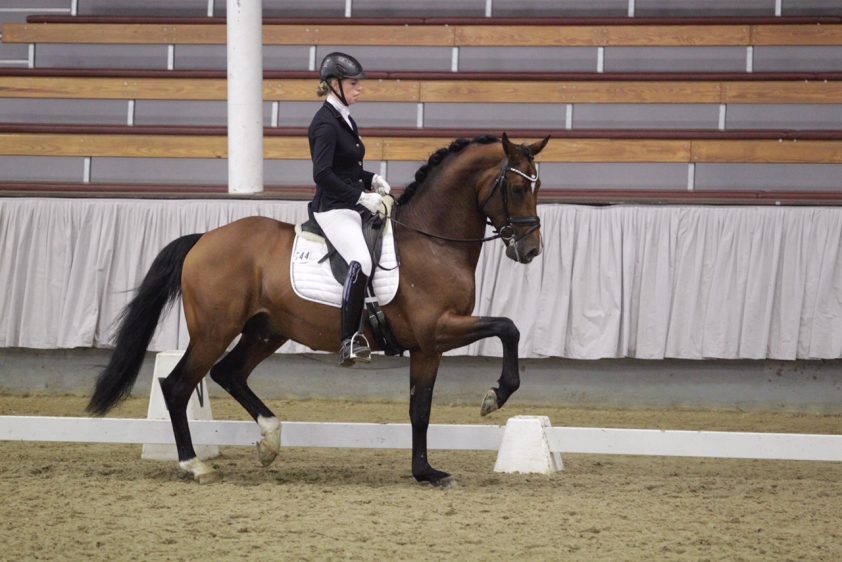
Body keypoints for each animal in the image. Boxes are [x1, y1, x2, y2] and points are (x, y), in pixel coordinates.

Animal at [87, 132, 550, 487]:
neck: (434, 242)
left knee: (228, 374)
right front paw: (495, 395)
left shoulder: (427, 347)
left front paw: (426, 472)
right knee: (178, 384)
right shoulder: (437, 330)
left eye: (538, 187)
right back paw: (196, 465)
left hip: (266, 330)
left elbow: (420, 410)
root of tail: (204, 239)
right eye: (516, 189)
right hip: (215, 332)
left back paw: (270, 441)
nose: (530, 251)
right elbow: (508, 327)